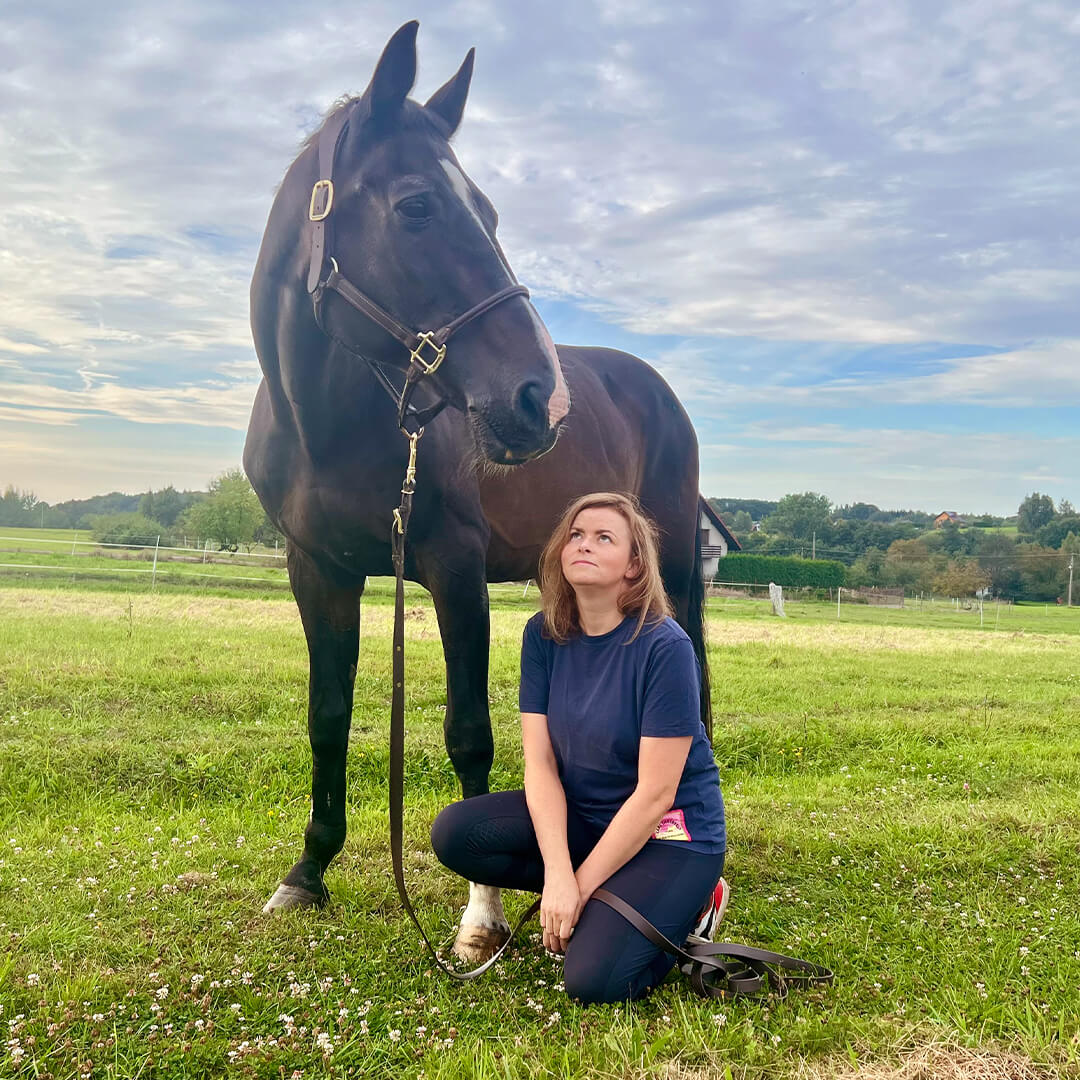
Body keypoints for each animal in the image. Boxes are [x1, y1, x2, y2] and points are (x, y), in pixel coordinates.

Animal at [244, 21, 709, 963]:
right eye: (418, 206)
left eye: (489, 213)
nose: (542, 399)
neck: (330, 427)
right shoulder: (317, 570)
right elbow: (326, 716)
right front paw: (307, 872)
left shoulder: (454, 570)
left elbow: (468, 732)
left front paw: (481, 916)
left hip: (673, 563)